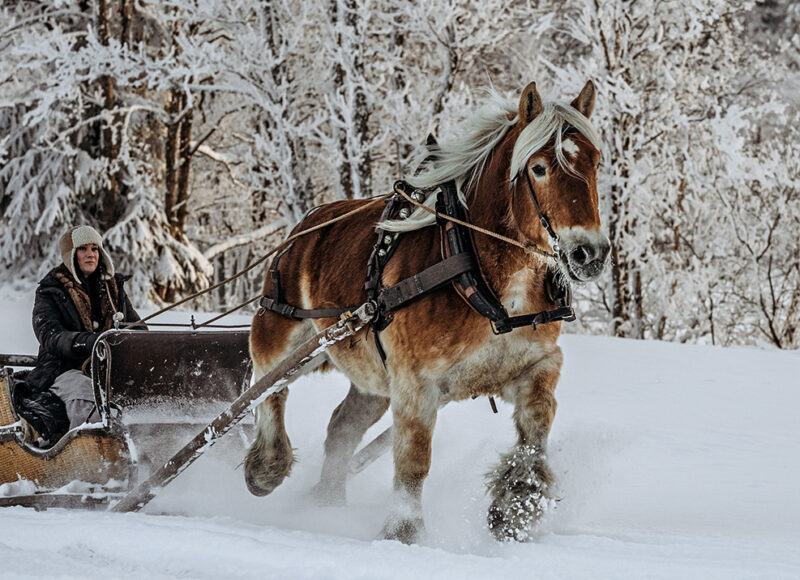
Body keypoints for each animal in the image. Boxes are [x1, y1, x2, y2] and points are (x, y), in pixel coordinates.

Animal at [242, 81, 608, 544]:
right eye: (539, 168)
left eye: (596, 162)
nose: (590, 253)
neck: (477, 273)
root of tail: (304, 226)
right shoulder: (416, 383)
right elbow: (413, 460)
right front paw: (403, 531)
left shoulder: (536, 364)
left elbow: (537, 427)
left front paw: (517, 503)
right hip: (281, 336)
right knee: (268, 389)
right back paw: (266, 469)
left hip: (372, 376)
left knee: (342, 426)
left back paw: (327, 500)